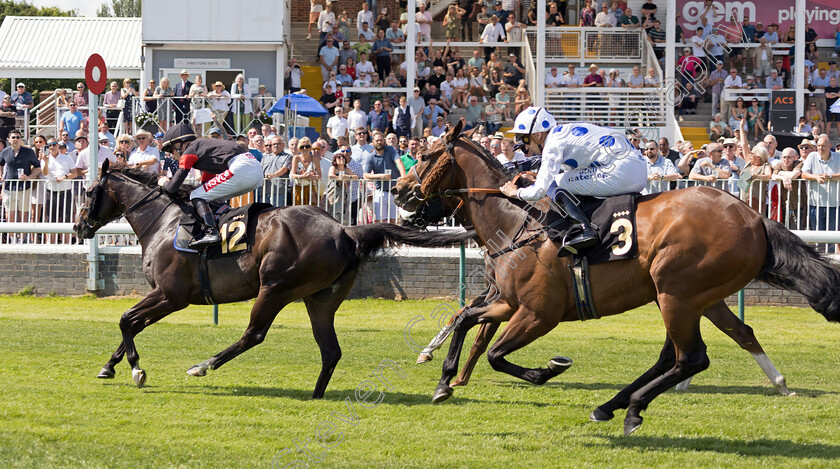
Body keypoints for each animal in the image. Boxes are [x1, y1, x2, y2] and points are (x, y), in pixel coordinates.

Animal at [72, 159, 472, 396]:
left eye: (89, 191)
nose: (78, 226)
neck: (165, 222)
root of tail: (344, 230)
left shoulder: (172, 296)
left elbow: (126, 320)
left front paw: (137, 370)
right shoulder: (163, 295)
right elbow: (131, 324)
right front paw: (110, 366)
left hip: (276, 288)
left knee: (254, 334)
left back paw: (203, 365)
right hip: (320, 300)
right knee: (330, 350)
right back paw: (316, 394)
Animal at [394, 122, 840, 434]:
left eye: (427, 154)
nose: (398, 190)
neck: (518, 223)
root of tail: (754, 217)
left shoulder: (539, 313)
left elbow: (496, 353)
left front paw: (548, 369)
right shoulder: (508, 302)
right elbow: (465, 320)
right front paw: (444, 381)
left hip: (678, 292)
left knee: (692, 356)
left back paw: (632, 409)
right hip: (688, 296)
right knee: (694, 349)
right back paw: (614, 405)